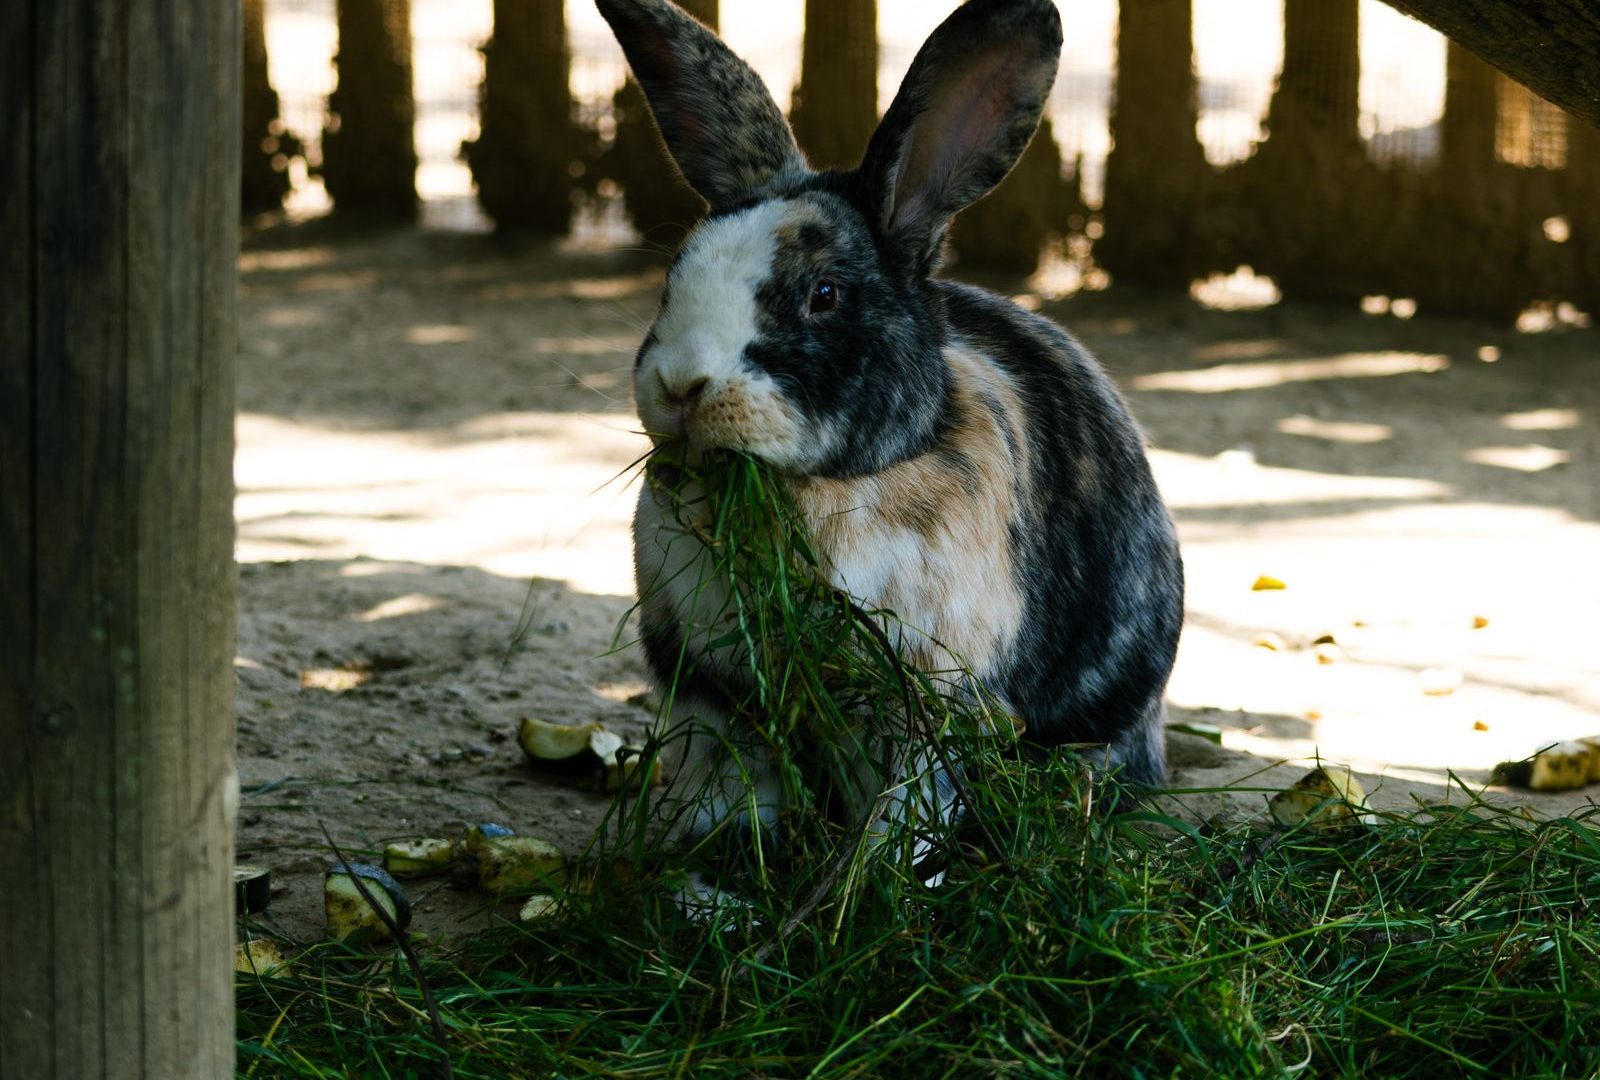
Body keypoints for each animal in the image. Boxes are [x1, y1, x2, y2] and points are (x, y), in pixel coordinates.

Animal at [599, 0, 1185, 852]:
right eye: (676, 272)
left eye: (825, 295)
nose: (681, 385)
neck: (829, 490)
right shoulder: (711, 693)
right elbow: (734, 785)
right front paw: (709, 863)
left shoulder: (931, 699)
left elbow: (912, 802)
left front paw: (880, 873)